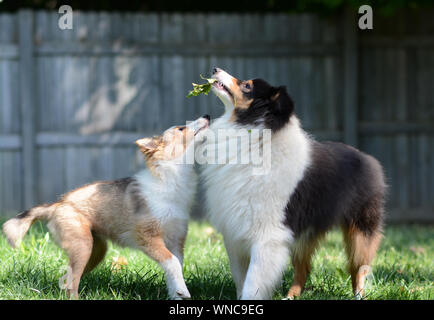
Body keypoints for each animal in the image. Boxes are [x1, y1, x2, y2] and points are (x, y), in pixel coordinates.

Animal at [1, 115, 209, 300]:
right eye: (181, 129)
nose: (207, 116)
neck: (171, 178)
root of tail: (57, 205)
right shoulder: (148, 237)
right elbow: (172, 263)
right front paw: (182, 292)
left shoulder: (176, 240)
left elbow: (174, 268)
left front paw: (177, 293)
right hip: (82, 246)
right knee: (72, 283)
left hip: (96, 251)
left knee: (66, 280)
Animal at [201, 67, 386, 300]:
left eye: (247, 86)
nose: (215, 69)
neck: (256, 136)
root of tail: (368, 158)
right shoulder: (235, 232)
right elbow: (241, 278)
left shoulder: (268, 235)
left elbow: (253, 282)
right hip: (304, 234)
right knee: (303, 269)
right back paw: (291, 296)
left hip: (361, 229)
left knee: (358, 268)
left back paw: (358, 295)